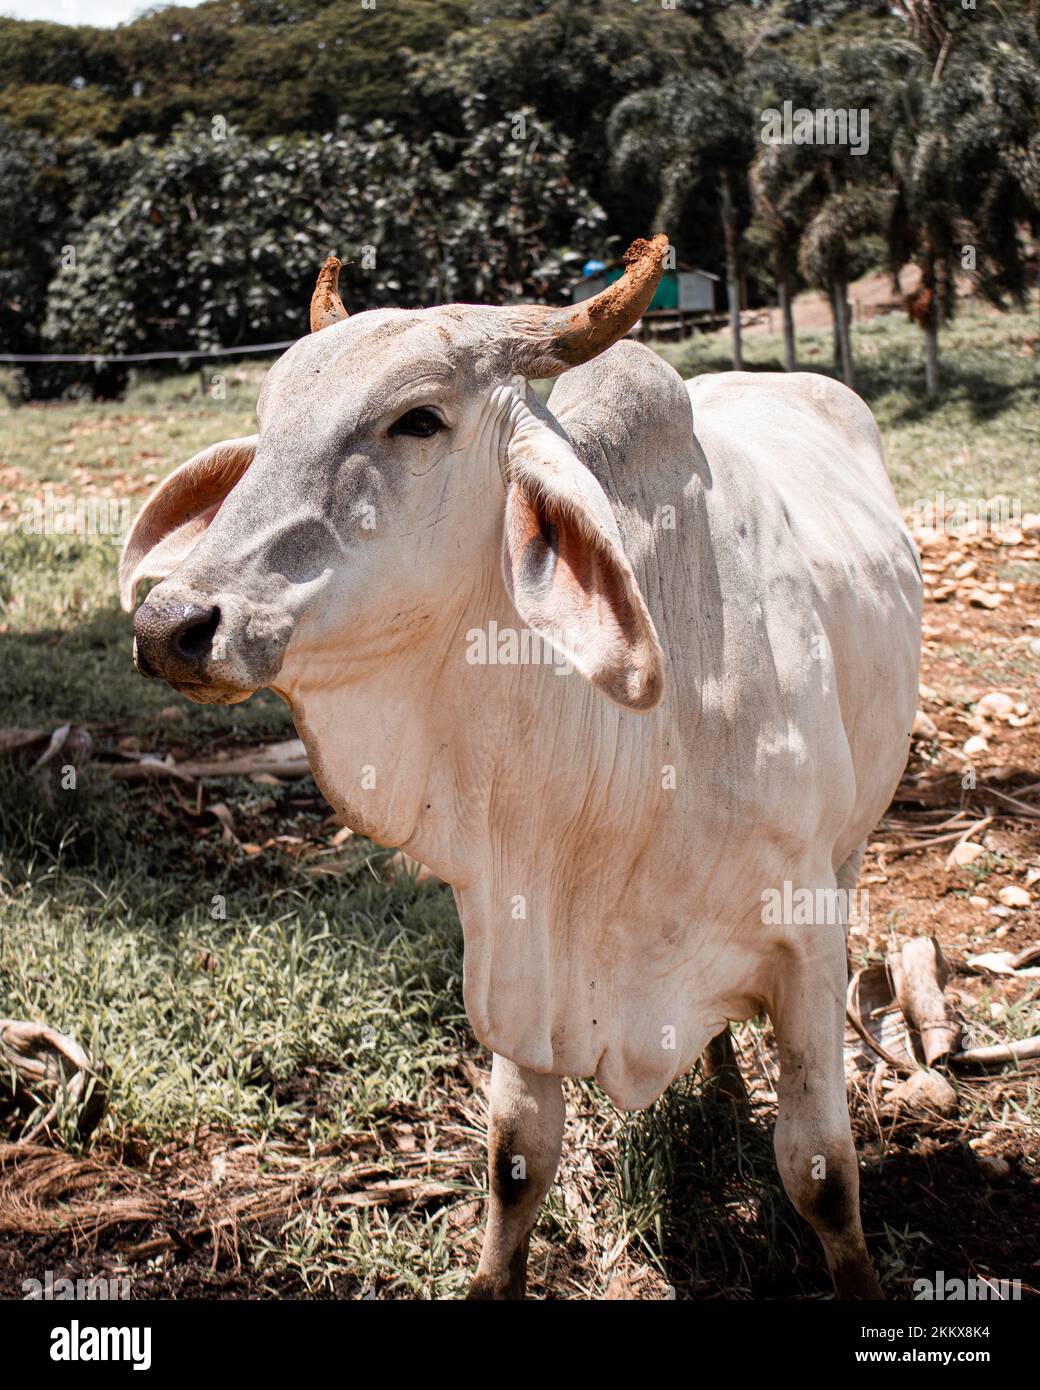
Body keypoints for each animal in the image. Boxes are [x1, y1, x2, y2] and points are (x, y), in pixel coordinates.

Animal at [119, 236, 917, 1289]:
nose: (171, 624)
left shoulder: (807, 947)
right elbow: (515, 1161)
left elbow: (822, 1175)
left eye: (418, 419)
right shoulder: (520, 943)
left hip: (852, 847)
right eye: (267, 422)